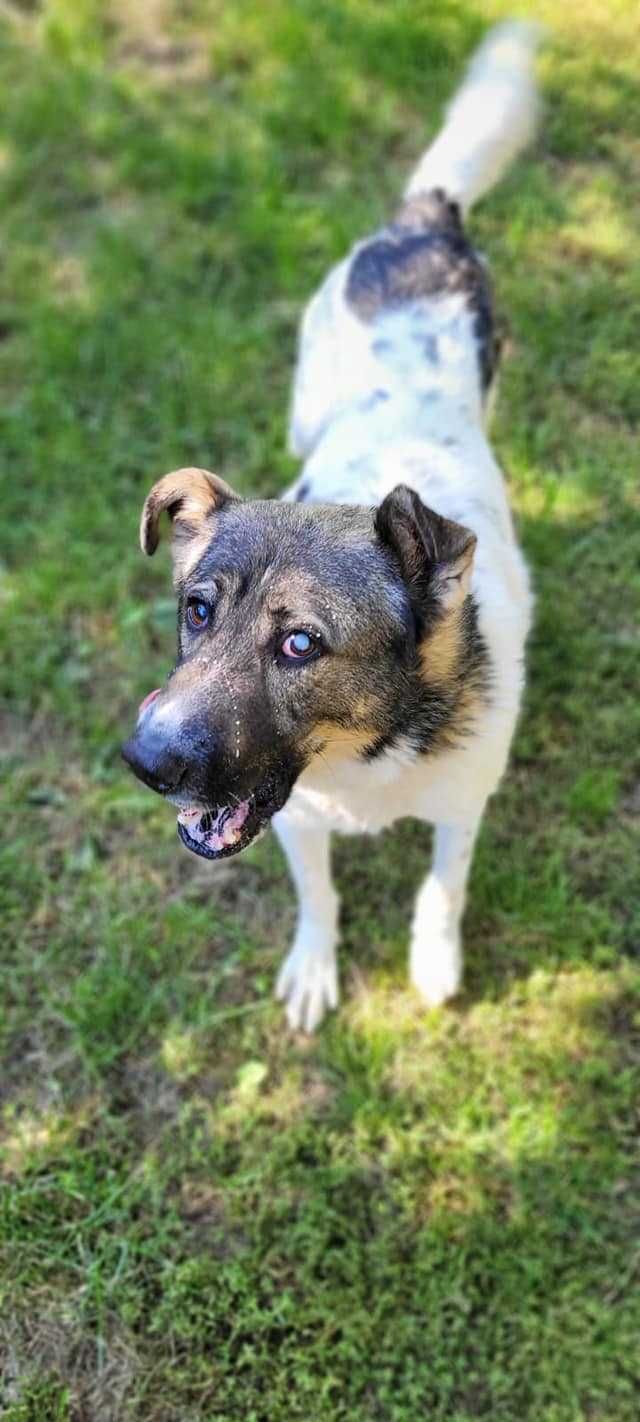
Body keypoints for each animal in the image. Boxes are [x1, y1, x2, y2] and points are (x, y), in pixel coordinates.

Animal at [121, 22, 540, 1035]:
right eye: (196, 611)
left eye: (302, 643)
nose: (143, 761)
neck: (364, 758)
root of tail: (422, 220)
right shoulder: (297, 823)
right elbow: (319, 895)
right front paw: (315, 966)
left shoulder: (463, 804)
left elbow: (444, 888)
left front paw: (434, 961)